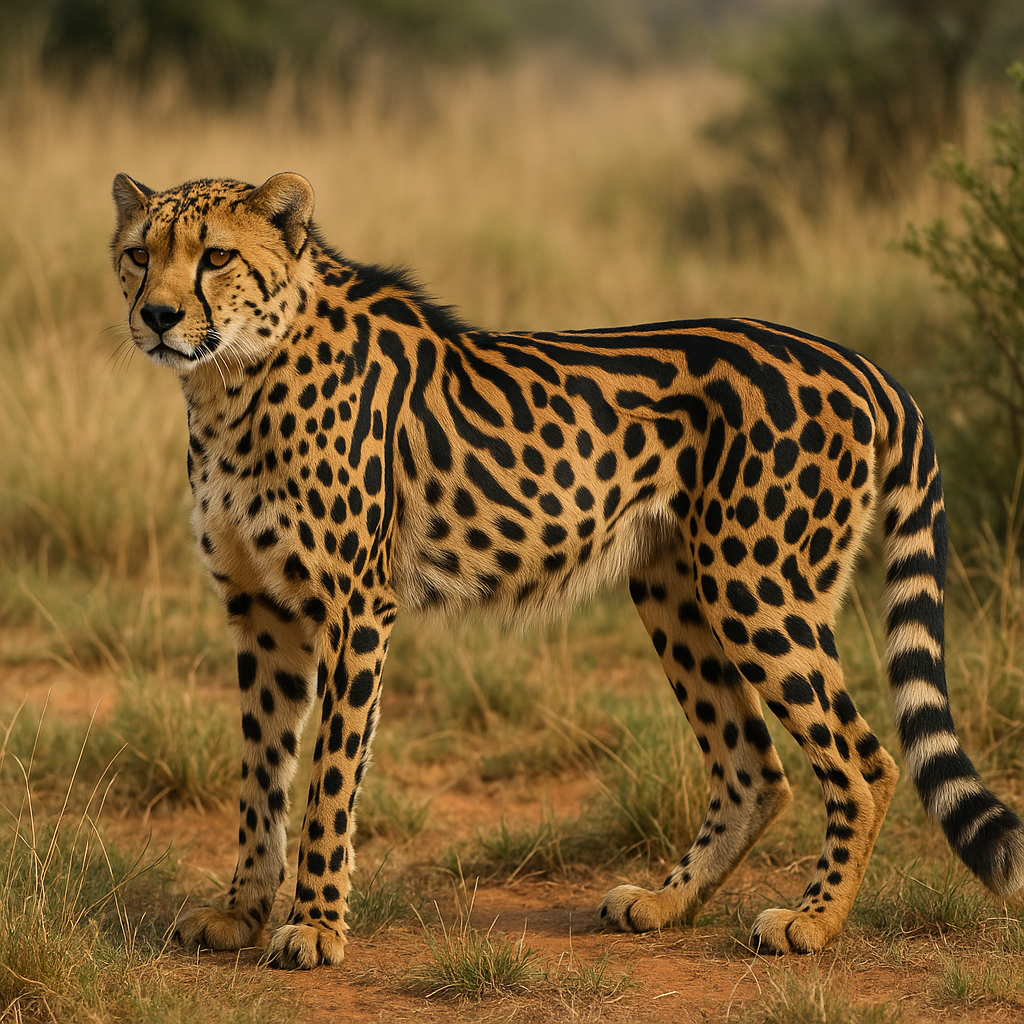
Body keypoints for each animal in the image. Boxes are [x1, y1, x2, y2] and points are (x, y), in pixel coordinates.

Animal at [110, 171, 1024, 970]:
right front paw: (239, 913)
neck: (233, 374)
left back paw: (815, 920)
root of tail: (859, 362)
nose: (156, 316)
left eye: (215, 256)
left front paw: (314, 926)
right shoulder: (261, 610)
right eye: (137, 253)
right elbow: (261, 770)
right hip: (675, 589)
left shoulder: (353, 609)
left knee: (864, 761)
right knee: (753, 767)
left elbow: (330, 777)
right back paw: (665, 902)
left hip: (757, 590)